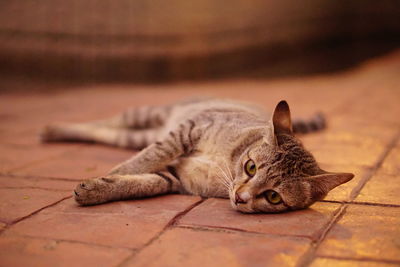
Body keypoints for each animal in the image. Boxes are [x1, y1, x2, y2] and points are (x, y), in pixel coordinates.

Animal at [41, 99, 354, 215]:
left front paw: (97, 188)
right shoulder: (186, 131)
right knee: (107, 122)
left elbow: (141, 182)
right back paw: (52, 129)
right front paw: (111, 174)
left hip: (136, 136)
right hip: (150, 115)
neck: (227, 163)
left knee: (104, 132)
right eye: (251, 167)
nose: (240, 197)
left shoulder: (174, 176)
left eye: (274, 197)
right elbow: (142, 160)